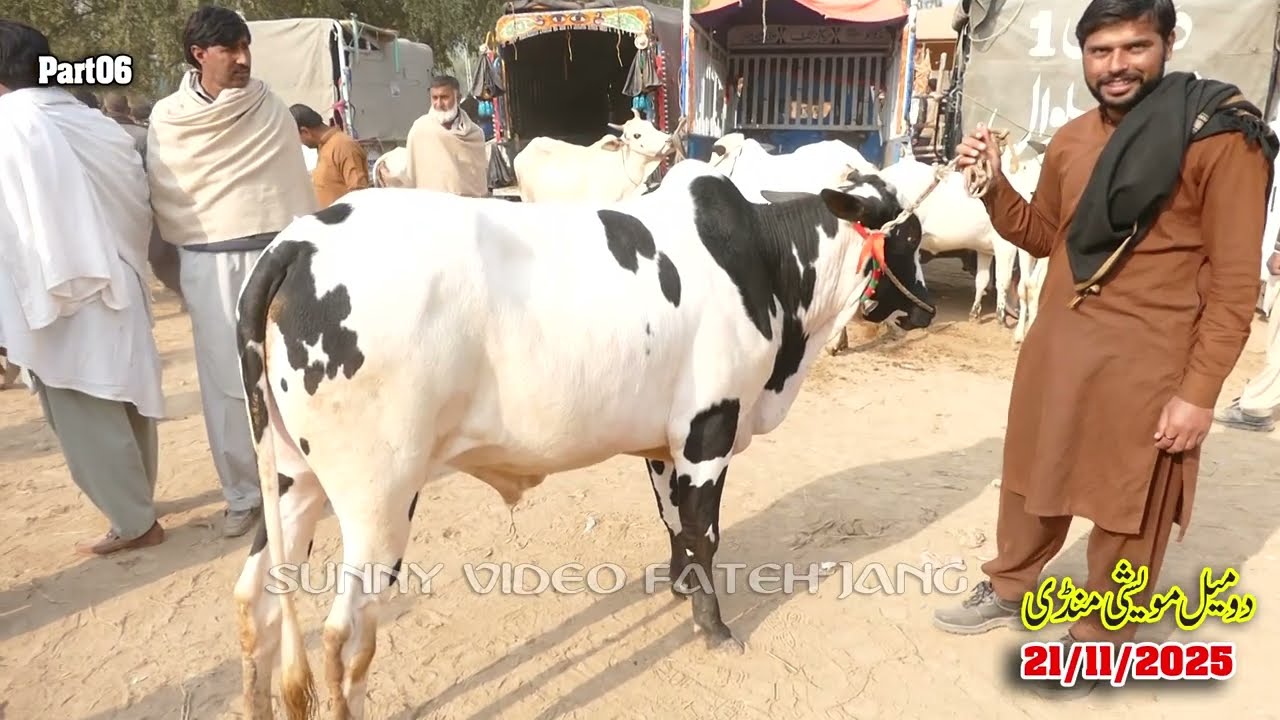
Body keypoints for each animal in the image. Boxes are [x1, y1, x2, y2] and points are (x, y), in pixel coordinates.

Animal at [230, 159, 932, 719]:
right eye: (909, 234)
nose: (926, 307)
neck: (764, 263)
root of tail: (295, 241)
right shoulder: (710, 426)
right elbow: (705, 531)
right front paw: (713, 627)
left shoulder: (663, 441)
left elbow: (674, 522)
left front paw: (681, 591)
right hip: (378, 496)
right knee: (342, 637)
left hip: (291, 479)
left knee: (254, 599)